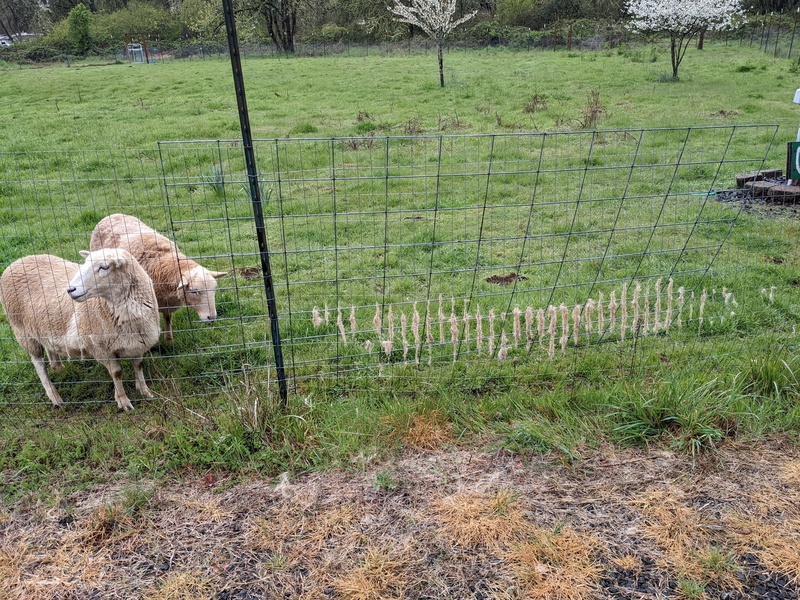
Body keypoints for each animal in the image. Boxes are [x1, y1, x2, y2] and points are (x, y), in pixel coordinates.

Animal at [0, 250, 162, 412]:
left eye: (104, 267)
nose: (70, 289)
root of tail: (16, 262)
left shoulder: (138, 343)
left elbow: (138, 366)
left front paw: (145, 391)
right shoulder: (101, 349)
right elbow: (116, 373)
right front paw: (123, 400)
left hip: (43, 327)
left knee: (49, 347)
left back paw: (58, 367)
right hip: (23, 333)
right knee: (38, 364)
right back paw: (55, 397)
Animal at [91, 213, 228, 342]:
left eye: (214, 290)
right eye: (194, 291)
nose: (212, 318)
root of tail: (111, 215)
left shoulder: (167, 303)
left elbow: (167, 319)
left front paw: (169, 340)